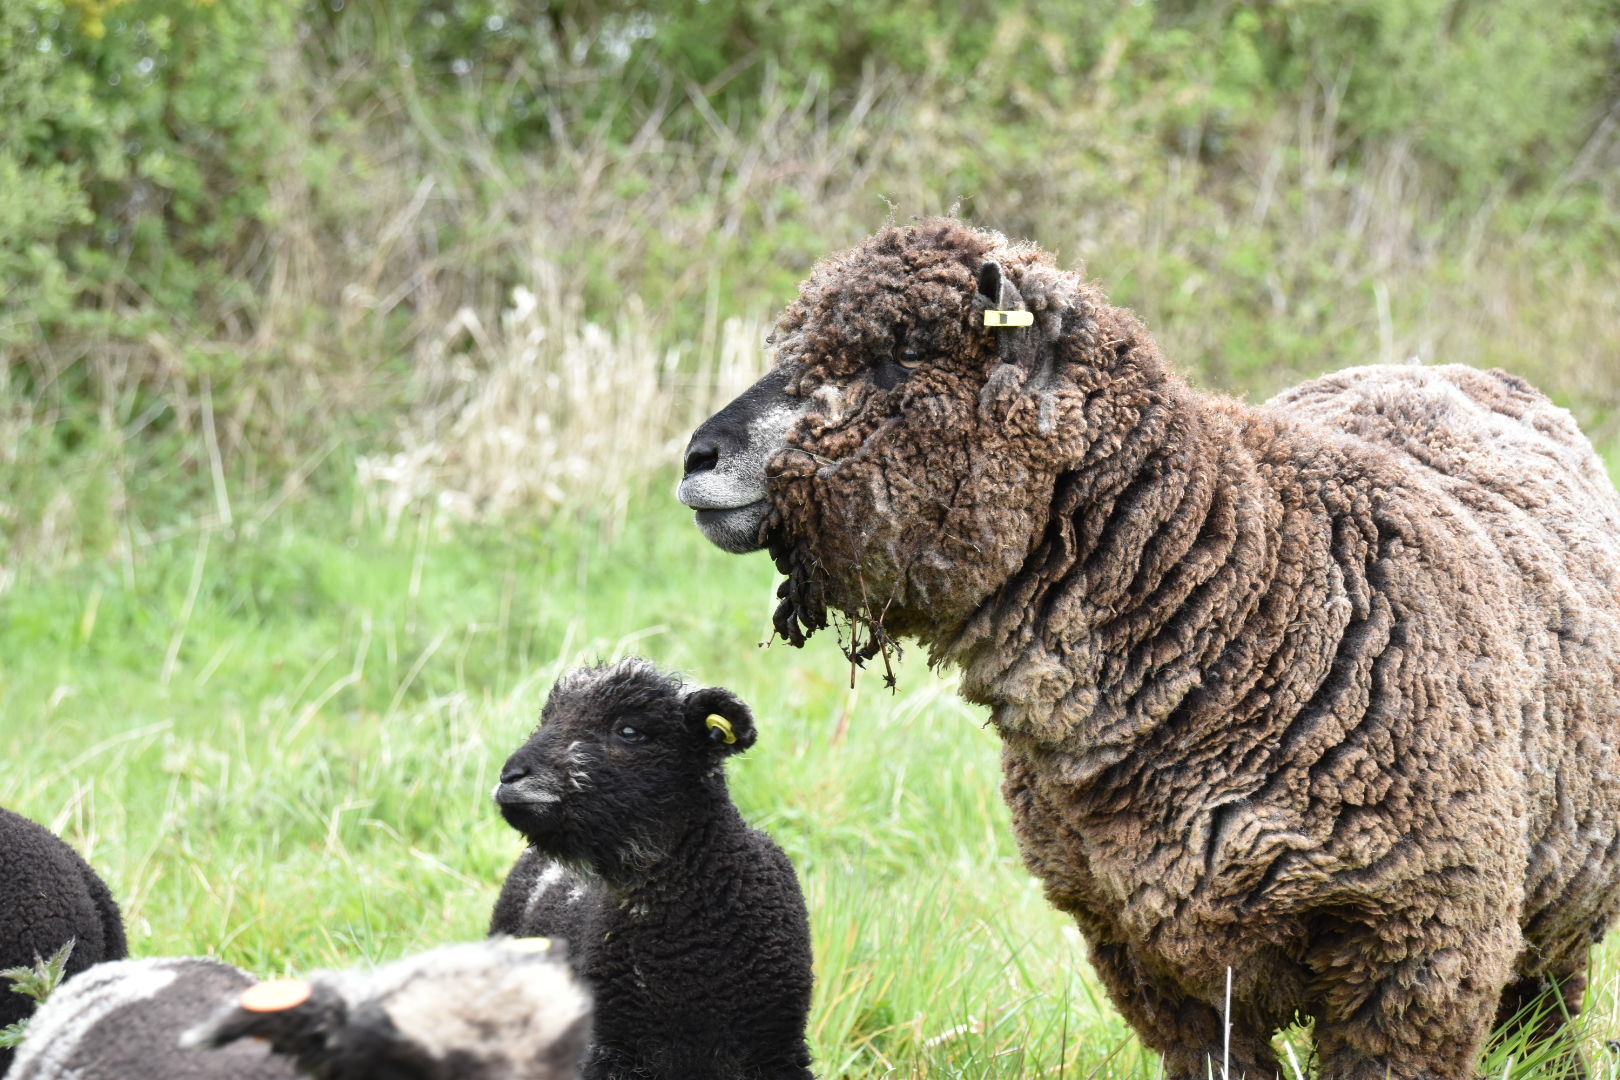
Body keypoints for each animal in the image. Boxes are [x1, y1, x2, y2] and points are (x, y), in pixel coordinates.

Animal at [677, 220, 1620, 1080]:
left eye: (901, 354)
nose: (697, 456)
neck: (1243, 607)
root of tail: (1436, 367)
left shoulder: (1418, 955)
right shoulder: (1148, 959)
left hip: (1553, 909)